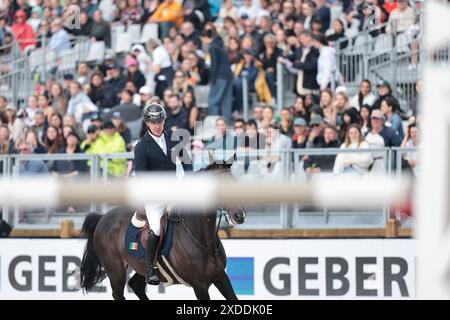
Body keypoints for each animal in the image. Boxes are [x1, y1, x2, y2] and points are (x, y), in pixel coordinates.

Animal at [78, 162, 246, 300]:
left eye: (235, 183)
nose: (239, 215)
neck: (202, 239)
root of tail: (102, 218)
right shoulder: (200, 285)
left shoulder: (221, 277)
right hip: (116, 272)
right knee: (118, 294)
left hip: (140, 267)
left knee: (136, 285)